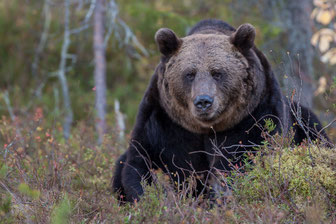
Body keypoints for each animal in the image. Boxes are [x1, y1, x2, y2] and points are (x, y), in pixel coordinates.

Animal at [111, 18, 330, 201]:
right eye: (190, 74)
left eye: (217, 73)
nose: (203, 101)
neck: (207, 128)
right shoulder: (163, 121)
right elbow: (141, 164)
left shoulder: (253, 117)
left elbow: (242, 161)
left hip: (304, 123)